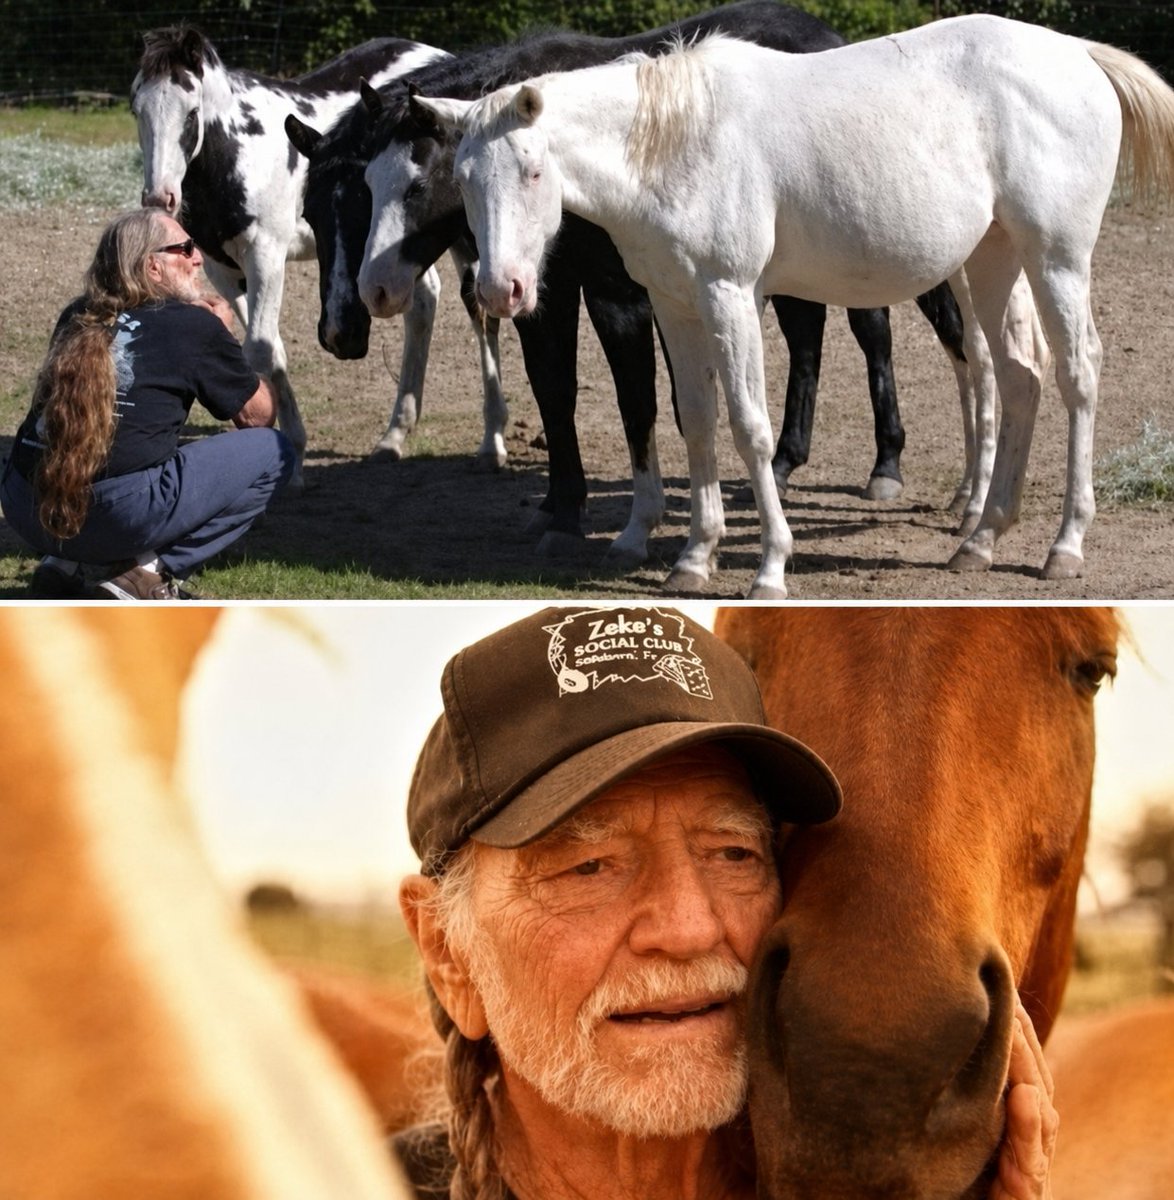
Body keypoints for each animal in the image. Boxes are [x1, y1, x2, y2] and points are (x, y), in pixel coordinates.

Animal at [129, 27, 506, 486]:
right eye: (136, 109)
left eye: (190, 113)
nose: (159, 197)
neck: (236, 153)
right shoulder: (222, 269)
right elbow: (264, 349)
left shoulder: (265, 256)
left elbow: (260, 349)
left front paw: (287, 458)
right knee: (423, 302)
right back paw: (394, 435)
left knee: (480, 311)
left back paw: (491, 443)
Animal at [286, 1, 972, 567]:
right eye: (316, 208)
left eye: (416, 185)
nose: (354, 313)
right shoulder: (547, 297)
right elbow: (555, 391)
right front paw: (560, 509)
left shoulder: (618, 299)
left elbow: (637, 401)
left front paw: (633, 525)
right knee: (809, 339)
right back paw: (783, 463)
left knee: (881, 331)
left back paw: (888, 466)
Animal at [419, 16, 1174, 596]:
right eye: (463, 178)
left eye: (532, 170)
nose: (500, 289)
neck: (675, 144)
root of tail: (1078, 54)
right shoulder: (673, 303)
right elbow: (695, 422)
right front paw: (695, 557)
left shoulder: (729, 295)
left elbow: (749, 428)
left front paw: (770, 569)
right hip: (993, 259)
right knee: (1018, 377)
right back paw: (980, 538)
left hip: (1056, 258)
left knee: (1078, 374)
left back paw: (1065, 545)